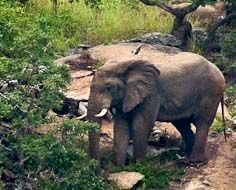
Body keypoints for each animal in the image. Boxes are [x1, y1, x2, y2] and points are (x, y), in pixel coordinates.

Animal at [86, 52, 225, 169]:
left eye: (109, 87)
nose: (100, 171)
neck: (125, 65)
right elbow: (121, 127)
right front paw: (118, 168)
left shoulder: (151, 93)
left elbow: (140, 126)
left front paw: (139, 167)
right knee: (182, 123)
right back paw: (186, 156)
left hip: (211, 91)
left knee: (202, 122)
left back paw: (194, 161)